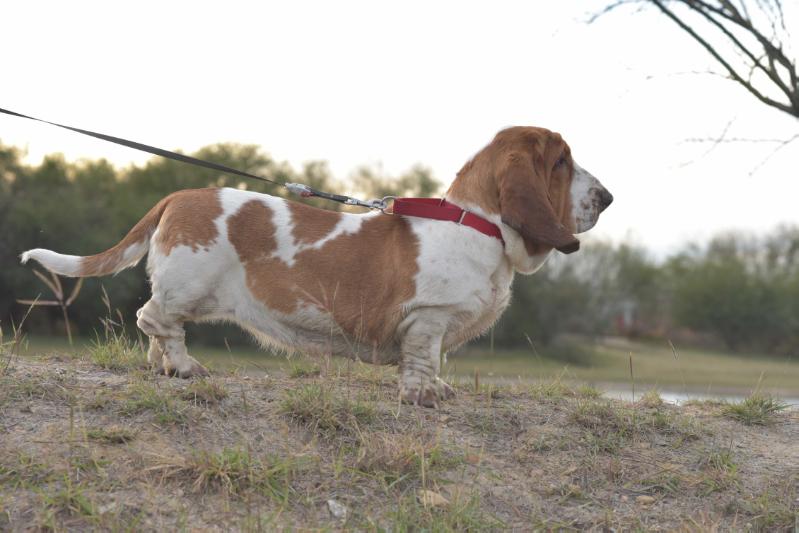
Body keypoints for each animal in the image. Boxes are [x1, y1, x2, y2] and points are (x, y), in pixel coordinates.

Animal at [23, 127, 612, 406]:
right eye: (561, 162)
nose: (607, 198)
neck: (477, 222)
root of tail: (179, 197)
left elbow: (436, 363)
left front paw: (439, 390)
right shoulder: (429, 317)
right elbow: (423, 361)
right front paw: (423, 396)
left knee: (157, 330)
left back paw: (166, 367)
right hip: (186, 288)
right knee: (154, 319)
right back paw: (186, 367)